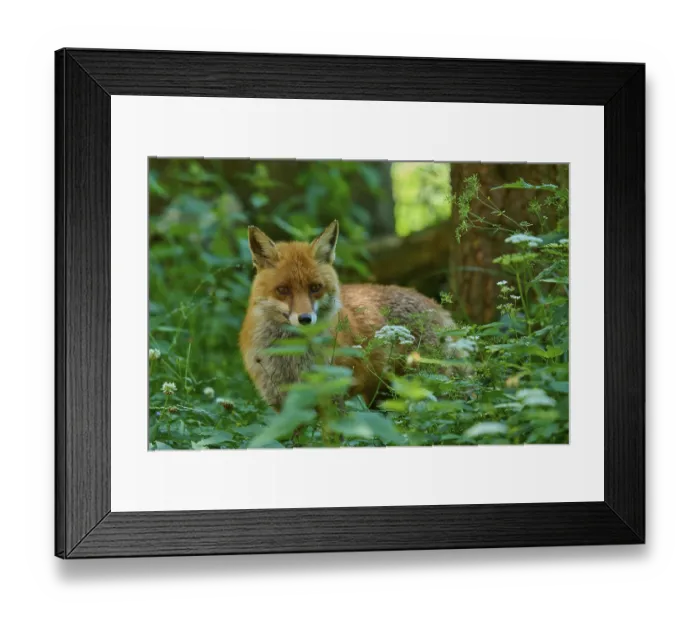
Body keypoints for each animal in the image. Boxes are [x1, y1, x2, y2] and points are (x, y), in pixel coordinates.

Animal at [239, 221, 458, 409]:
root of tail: (433, 303)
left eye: (315, 288)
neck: (292, 360)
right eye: (283, 290)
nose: (305, 319)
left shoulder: (338, 392)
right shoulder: (282, 404)